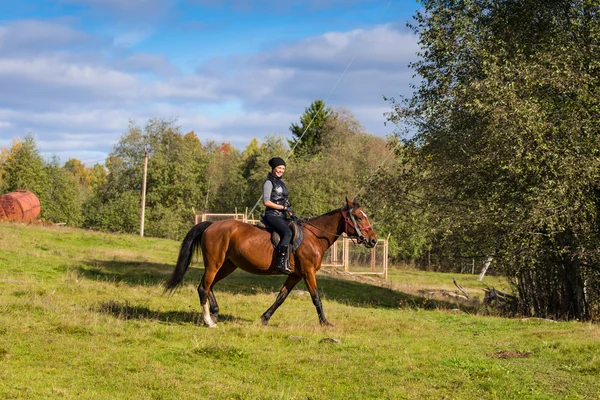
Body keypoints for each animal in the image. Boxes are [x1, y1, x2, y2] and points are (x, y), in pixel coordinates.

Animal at [165, 198, 376, 328]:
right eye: (358, 217)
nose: (373, 240)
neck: (314, 236)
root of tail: (211, 225)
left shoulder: (295, 274)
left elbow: (281, 297)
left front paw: (264, 318)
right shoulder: (308, 272)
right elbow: (316, 298)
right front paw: (325, 323)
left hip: (228, 265)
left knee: (209, 286)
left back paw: (215, 313)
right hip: (214, 264)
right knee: (203, 287)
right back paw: (209, 321)